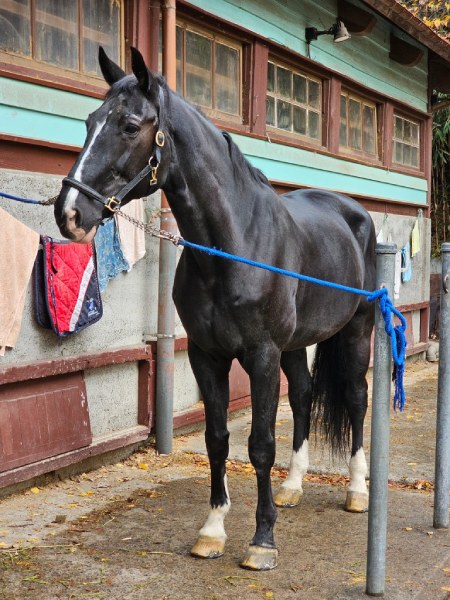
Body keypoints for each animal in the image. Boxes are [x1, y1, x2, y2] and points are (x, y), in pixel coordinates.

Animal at [53, 48, 376, 572]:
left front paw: (262, 541)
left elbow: (259, 445)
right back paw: (292, 487)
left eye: (129, 125)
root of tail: (355, 212)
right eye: (88, 122)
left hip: (355, 334)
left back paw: (357, 491)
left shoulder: (261, 356)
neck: (232, 245)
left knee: (355, 398)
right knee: (304, 396)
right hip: (296, 345)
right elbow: (218, 439)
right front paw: (212, 530)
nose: (69, 213)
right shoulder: (209, 357)